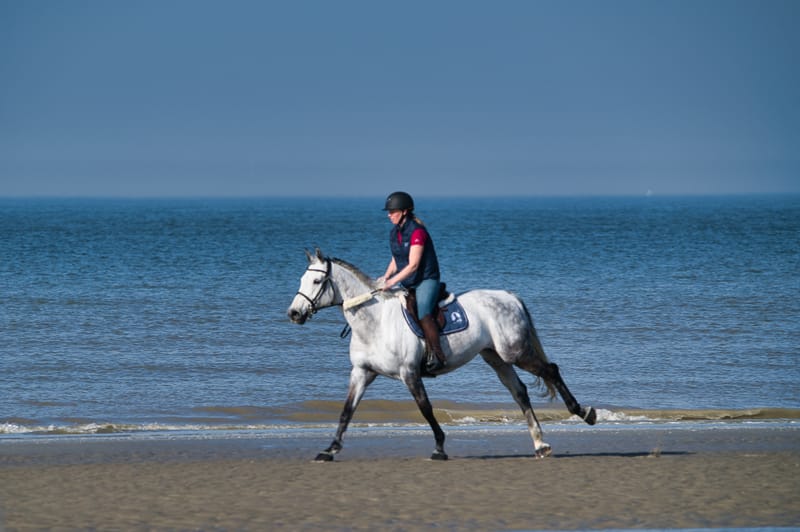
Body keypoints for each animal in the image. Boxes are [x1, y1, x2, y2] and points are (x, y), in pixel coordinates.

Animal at [287, 248, 596, 461]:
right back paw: (541, 444)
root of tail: (510, 296)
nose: (294, 314)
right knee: (519, 391)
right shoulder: (362, 373)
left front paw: (439, 447)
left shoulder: (409, 373)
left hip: (514, 352)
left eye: (317, 281)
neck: (375, 321)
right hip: (495, 357)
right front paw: (329, 450)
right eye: (301, 278)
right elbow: (346, 411)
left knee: (550, 370)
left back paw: (583, 412)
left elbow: (425, 408)